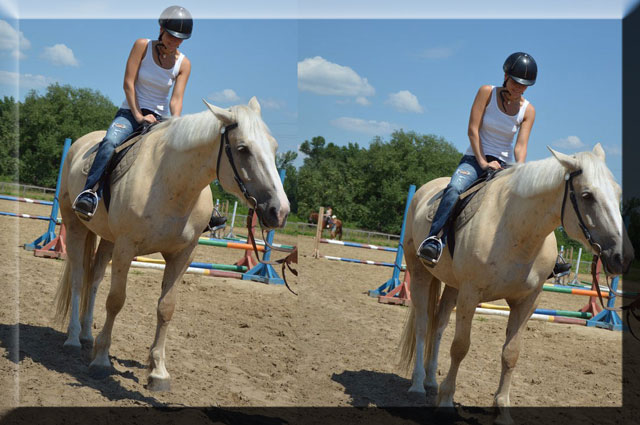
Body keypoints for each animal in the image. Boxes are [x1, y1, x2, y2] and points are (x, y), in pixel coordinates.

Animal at [55, 97, 290, 390]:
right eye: (242, 149)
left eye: (274, 147)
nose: (280, 211)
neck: (170, 183)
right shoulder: (126, 249)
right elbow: (116, 301)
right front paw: (101, 360)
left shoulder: (182, 255)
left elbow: (166, 307)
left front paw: (158, 372)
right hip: (75, 226)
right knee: (78, 278)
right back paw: (73, 339)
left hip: (107, 240)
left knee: (94, 280)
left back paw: (88, 336)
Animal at [400, 144, 636, 422]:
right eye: (587, 195)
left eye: (618, 193)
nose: (623, 257)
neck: (514, 230)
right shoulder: (470, 295)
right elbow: (460, 347)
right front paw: (447, 401)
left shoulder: (527, 302)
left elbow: (511, 353)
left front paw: (502, 409)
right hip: (420, 273)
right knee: (423, 324)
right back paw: (417, 385)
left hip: (452, 285)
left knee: (438, 326)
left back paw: (431, 382)